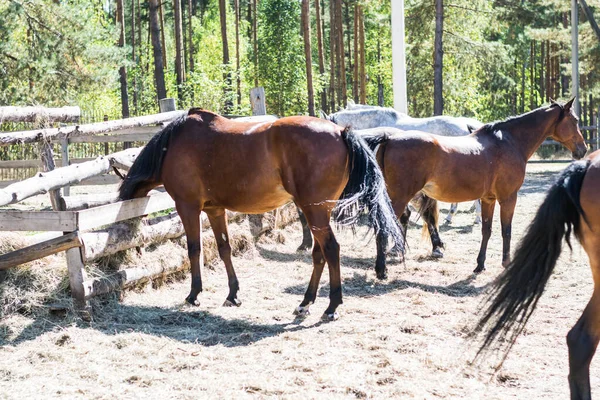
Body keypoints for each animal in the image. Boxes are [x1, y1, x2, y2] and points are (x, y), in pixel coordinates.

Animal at [118, 108, 404, 320]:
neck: (172, 145)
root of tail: (340, 131)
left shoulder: (188, 207)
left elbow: (194, 249)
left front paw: (194, 294)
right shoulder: (215, 209)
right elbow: (224, 248)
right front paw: (232, 294)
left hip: (314, 211)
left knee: (331, 249)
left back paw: (331, 307)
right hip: (319, 213)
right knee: (319, 253)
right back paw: (305, 303)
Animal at [360, 99, 584, 278]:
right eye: (574, 121)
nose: (583, 149)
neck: (508, 142)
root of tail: (389, 138)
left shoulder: (488, 200)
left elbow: (487, 230)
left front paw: (480, 265)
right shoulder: (508, 198)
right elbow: (506, 230)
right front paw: (506, 263)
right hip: (400, 198)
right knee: (384, 227)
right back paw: (382, 270)